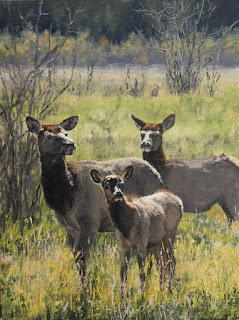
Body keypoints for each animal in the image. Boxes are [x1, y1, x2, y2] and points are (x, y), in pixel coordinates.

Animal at [25, 115, 164, 280]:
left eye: (65, 133)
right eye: (48, 136)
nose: (70, 144)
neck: (67, 196)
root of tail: (158, 175)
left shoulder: (90, 222)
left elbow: (82, 259)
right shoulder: (69, 228)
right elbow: (77, 260)